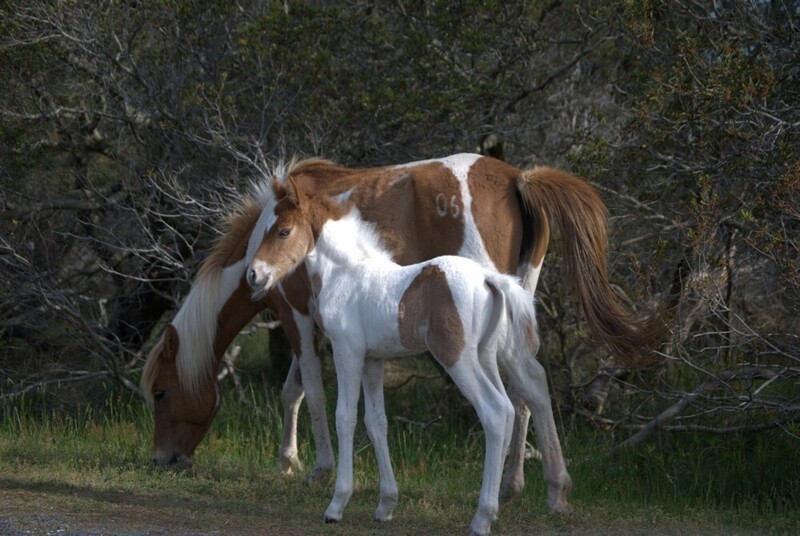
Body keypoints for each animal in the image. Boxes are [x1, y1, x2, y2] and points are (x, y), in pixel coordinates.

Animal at [141, 153, 660, 496]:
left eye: (162, 392)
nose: (162, 460)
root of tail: (518, 179)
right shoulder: (321, 324)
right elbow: (294, 392)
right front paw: (290, 461)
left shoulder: (297, 316)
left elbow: (310, 392)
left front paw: (317, 466)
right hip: (517, 304)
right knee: (529, 385)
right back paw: (523, 480)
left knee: (516, 388)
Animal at [247, 178, 572, 532]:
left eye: (284, 231)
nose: (253, 275)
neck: (345, 274)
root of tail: (489, 278)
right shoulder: (373, 360)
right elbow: (376, 422)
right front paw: (386, 505)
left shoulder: (348, 352)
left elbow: (345, 417)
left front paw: (337, 504)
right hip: (486, 356)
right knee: (512, 407)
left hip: (458, 358)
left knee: (496, 411)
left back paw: (482, 517)